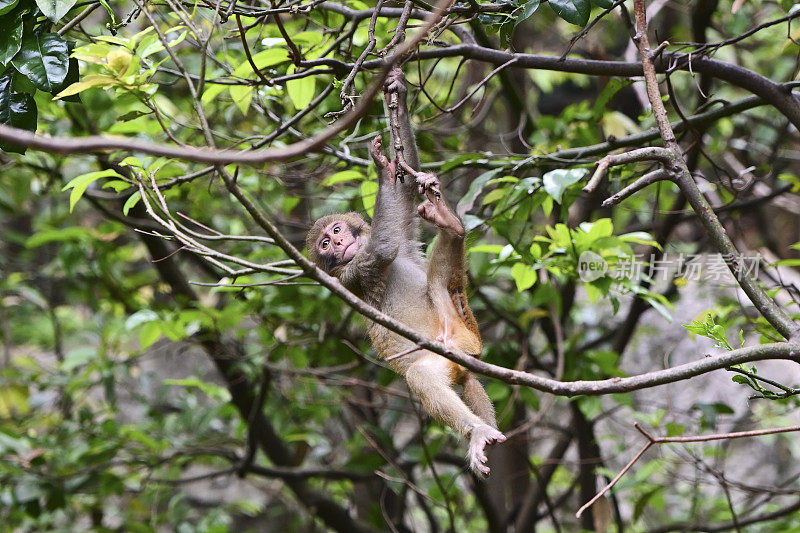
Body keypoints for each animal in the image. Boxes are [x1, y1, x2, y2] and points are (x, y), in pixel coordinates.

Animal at [306, 67, 506, 474]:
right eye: (324, 245)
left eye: (336, 230)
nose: (337, 243)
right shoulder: (352, 275)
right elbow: (383, 250)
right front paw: (382, 169)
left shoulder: (397, 234)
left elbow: (402, 205)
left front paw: (396, 90)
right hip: (445, 352)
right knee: (423, 375)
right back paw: (476, 431)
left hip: (461, 328)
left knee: (439, 285)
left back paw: (451, 225)